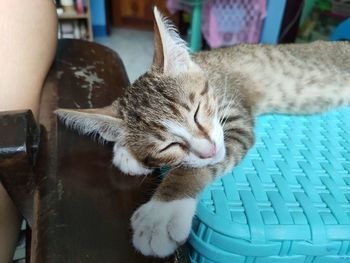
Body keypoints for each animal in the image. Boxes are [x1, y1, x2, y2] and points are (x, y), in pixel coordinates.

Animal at [54, 7, 350, 258]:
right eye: (166, 146)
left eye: (197, 112)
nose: (208, 149)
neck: (207, 69)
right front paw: (126, 151)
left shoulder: (235, 122)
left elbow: (191, 169)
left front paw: (162, 213)